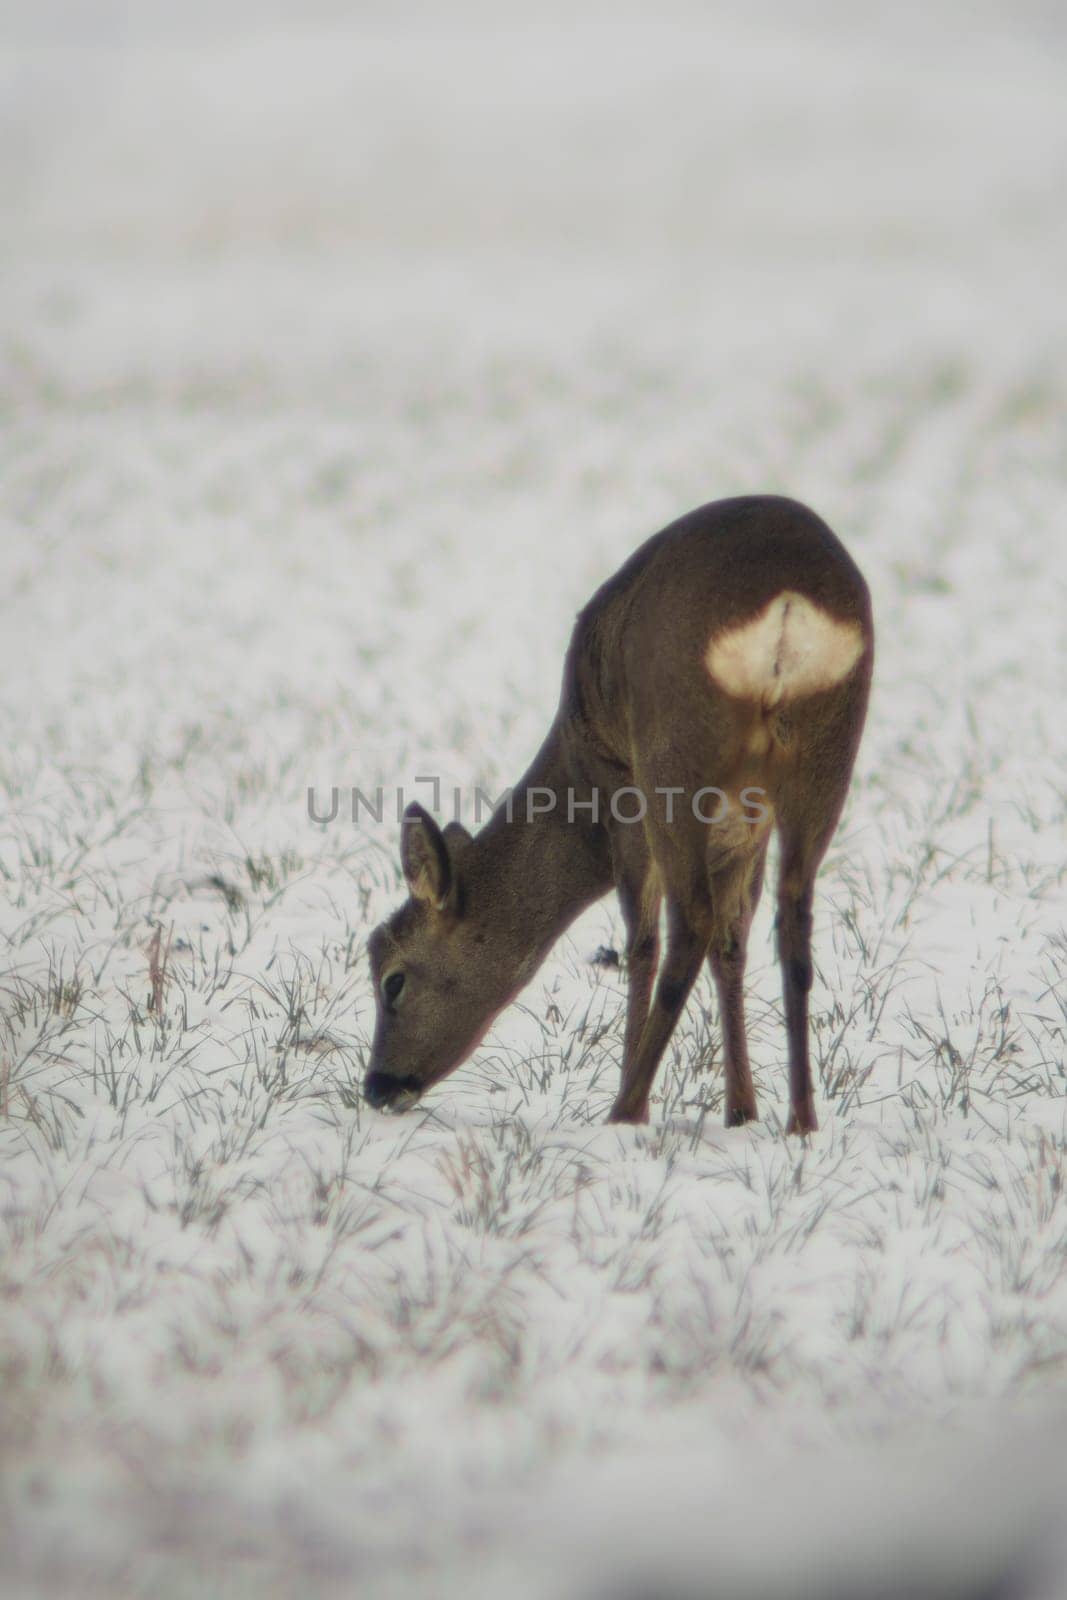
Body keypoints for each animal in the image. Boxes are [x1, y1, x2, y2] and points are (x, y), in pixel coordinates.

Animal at [363, 492, 870, 1132]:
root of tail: (786, 605)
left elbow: (642, 944)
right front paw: (742, 1113)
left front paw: (646, 1103)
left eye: (392, 979)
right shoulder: (743, 826)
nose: (376, 1087)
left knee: (687, 927)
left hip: (672, 753)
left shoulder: (620, 788)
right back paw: (802, 1120)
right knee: (793, 921)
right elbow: (733, 944)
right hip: (828, 750)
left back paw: (624, 1110)